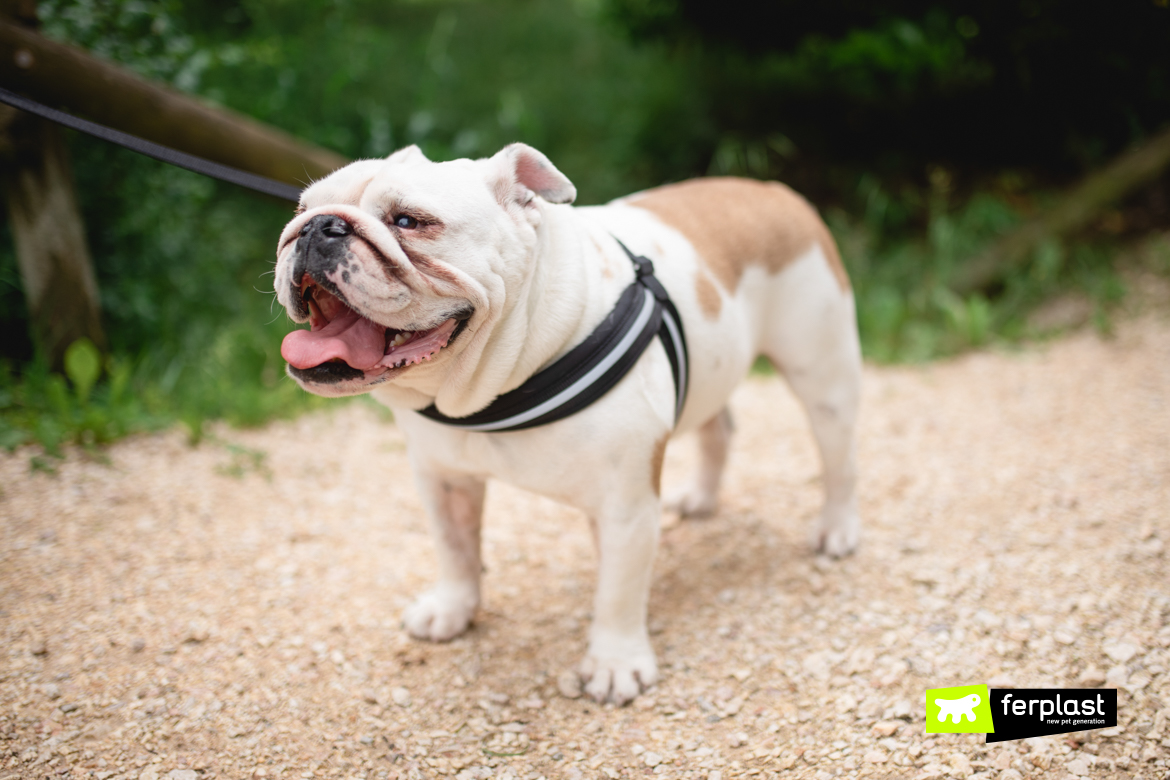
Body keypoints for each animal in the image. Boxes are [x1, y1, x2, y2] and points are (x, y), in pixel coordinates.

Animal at [273, 143, 861, 706]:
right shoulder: (443, 479)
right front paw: (453, 609)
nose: (320, 227)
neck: (497, 378)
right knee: (719, 427)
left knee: (837, 454)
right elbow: (456, 550)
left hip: (822, 372)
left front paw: (615, 663)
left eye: (409, 221)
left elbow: (618, 590)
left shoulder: (625, 507)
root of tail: (773, 190)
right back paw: (701, 498)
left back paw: (836, 530)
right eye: (300, 209)